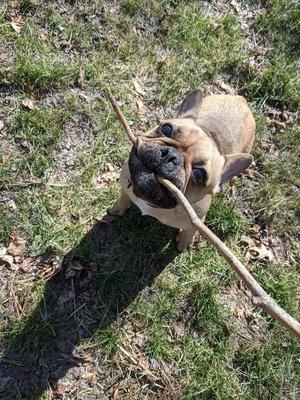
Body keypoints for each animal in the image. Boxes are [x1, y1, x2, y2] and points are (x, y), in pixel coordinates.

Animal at [110, 90, 255, 252]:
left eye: (199, 175)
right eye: (166, 129)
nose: (171, 155)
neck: (149, 202)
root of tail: (241, 100)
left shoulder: (198, 219)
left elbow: (190, 231)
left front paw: (184, 242)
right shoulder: (125, 181)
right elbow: (124, 196)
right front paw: (118, 208)